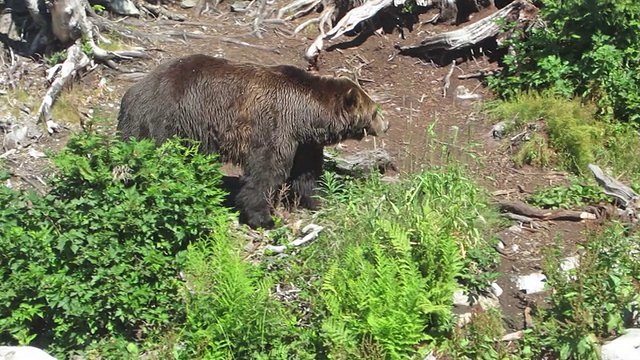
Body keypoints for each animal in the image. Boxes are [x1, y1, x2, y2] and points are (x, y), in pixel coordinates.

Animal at [115, 54, 390, 228]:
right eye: (375, 111)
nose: (385, 125)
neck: (305, 115)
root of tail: (132, 91)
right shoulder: (274, 126)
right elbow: (265, 172)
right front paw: (264, 218)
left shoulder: (303, 142)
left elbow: (306, 172)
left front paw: (317, 199)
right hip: (165, 122)